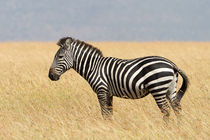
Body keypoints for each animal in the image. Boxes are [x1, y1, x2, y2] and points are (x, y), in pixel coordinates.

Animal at [49, 36, 189, 122]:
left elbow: (104, 112)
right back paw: (178, 128)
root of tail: (171, 64)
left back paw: (166, 128)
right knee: (177, 108)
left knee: (166, 110)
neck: (94, 67)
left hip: (158, 88)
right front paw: (110, 126)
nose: (50, 76)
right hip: (170, 89)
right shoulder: (109, 93)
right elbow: (109, 113)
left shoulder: (101, 90)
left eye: (60, 56)